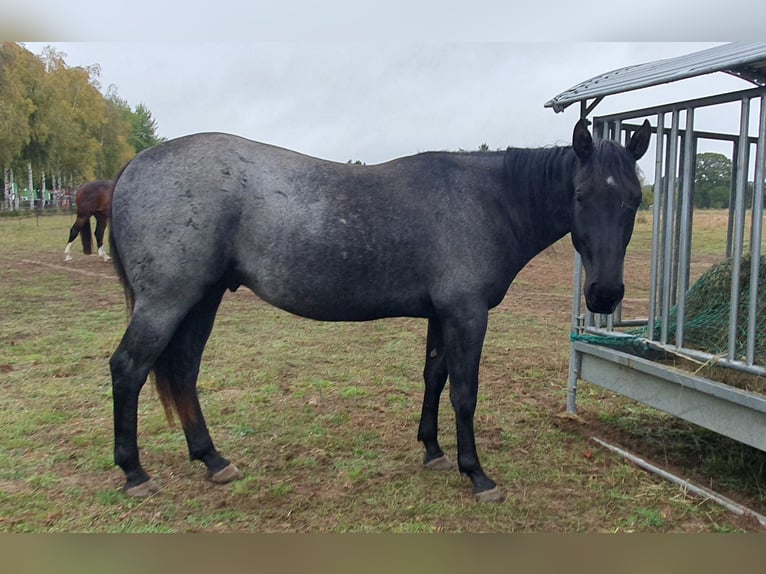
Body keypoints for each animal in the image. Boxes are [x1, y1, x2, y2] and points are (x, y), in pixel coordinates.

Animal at [108, 119, 651, 502]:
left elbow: (434, 378)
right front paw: (476, 474)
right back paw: (135, 472)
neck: (486, 201)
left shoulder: (441, 315)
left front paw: (433, 450)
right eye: (580, 194)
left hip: (202, 299)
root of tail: (134, 167)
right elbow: (465, 393)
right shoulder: (466, 315)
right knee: (129, 368)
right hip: (167, 301)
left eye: (633, 199)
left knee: (182, 371)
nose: (604, 294)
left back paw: (213, 461)